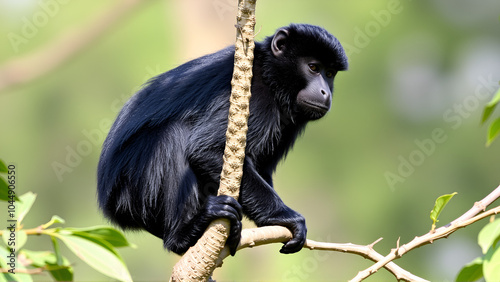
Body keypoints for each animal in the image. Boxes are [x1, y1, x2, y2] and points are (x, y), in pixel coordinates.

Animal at [96, 23, 348, 256]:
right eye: (313, 68)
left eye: (329, 73)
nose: (325, 91)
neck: (268, 74)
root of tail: (109, 204)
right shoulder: (255, 94)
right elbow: (206, 149)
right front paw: (286, 218)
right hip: (131, 185)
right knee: (173, 135)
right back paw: (183, 235)